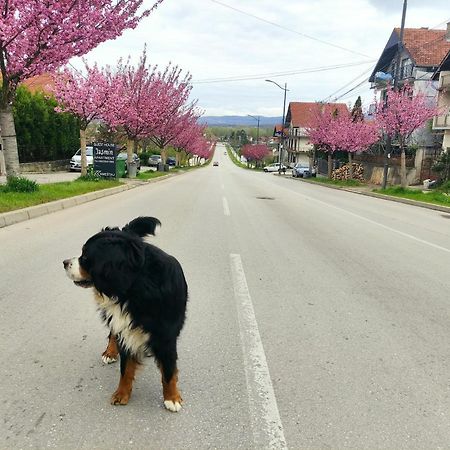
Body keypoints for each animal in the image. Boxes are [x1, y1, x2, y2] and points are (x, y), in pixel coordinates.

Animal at [63, 217, 188, 412]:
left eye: (85, 257)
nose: (64, 262)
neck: (131, 290)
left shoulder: (166, 335)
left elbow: (168, 370)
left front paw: (172, 398)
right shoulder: (125, 329)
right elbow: (125, 369)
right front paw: (121, 393)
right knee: (112, 334)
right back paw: (110, 352)